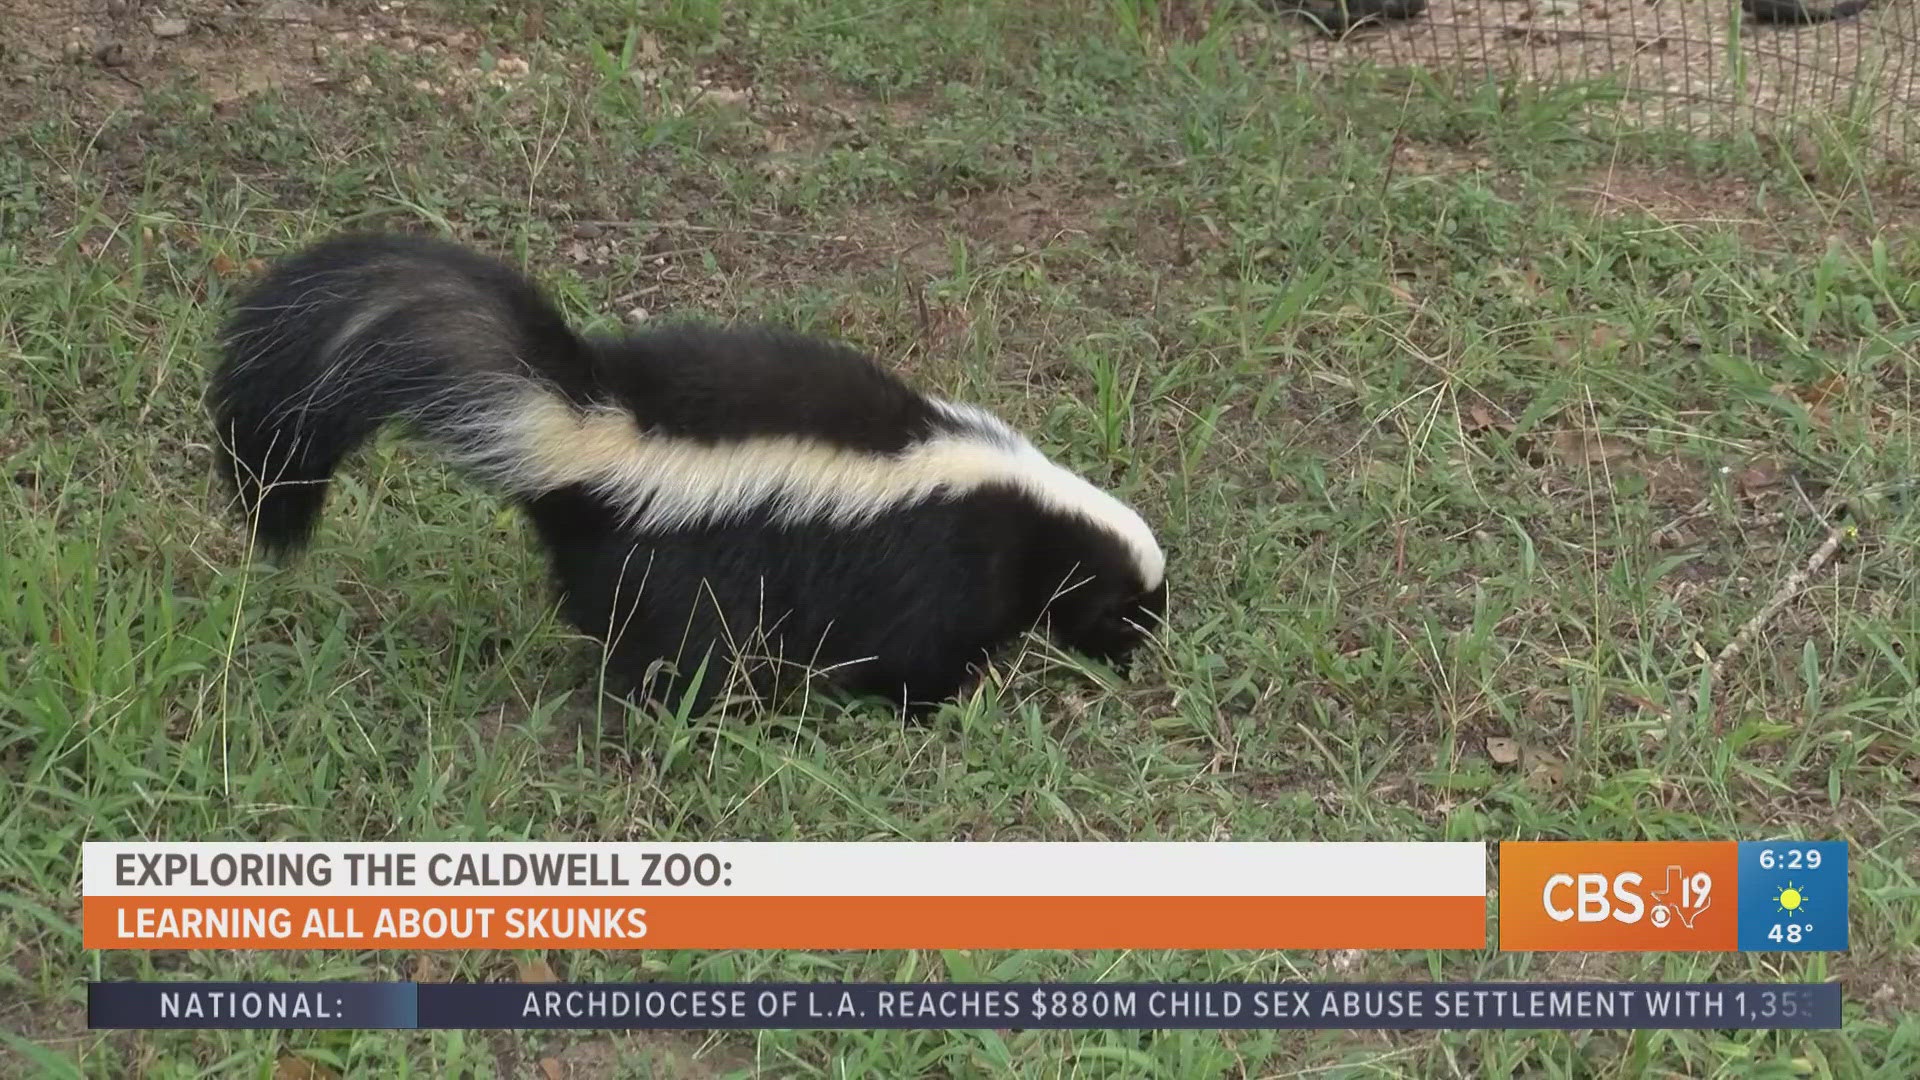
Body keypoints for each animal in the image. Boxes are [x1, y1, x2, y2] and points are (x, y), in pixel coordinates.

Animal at [210, 231, 1167, 711]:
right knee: (673, 650)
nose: (1141, 659)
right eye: (1125, 612)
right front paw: (936, 705)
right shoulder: (932, 562)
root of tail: (592, 422)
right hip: (680, 568)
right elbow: (911, 654)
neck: (1031, 508)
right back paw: (693, 708)